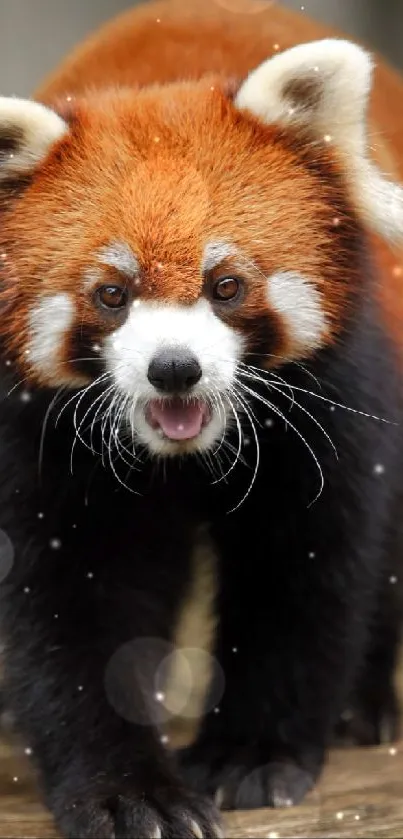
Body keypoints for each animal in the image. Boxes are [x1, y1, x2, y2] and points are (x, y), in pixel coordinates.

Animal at [0, 0, 403, 836]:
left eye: (225, 285)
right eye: (111, 293)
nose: (173, 368)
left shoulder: (338, 390)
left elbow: (306, 568)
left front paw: (249, 755)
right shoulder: (37, 428)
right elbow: (72, 593)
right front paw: (126, 789)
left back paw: (364, 702)